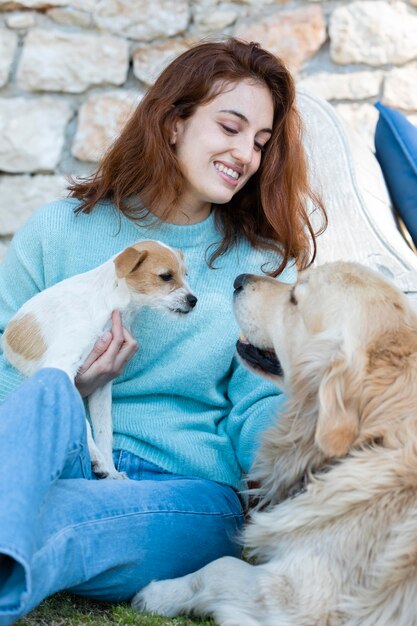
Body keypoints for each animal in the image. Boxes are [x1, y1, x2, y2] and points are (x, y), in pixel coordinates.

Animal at [3, 239, 196, 478]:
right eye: (166, 276)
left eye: (185, 274)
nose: (194, 300)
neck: (109, 304)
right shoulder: (61, 366)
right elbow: (82, 420)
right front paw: (97, 459)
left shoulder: (102, 384)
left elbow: (104, 429)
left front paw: (110, 470)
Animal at [134, 260, 417, 620]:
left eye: (296, 298)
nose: (239, 279)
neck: (374, 436)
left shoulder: (303, 597)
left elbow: (218, 567)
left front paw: (159, 594)